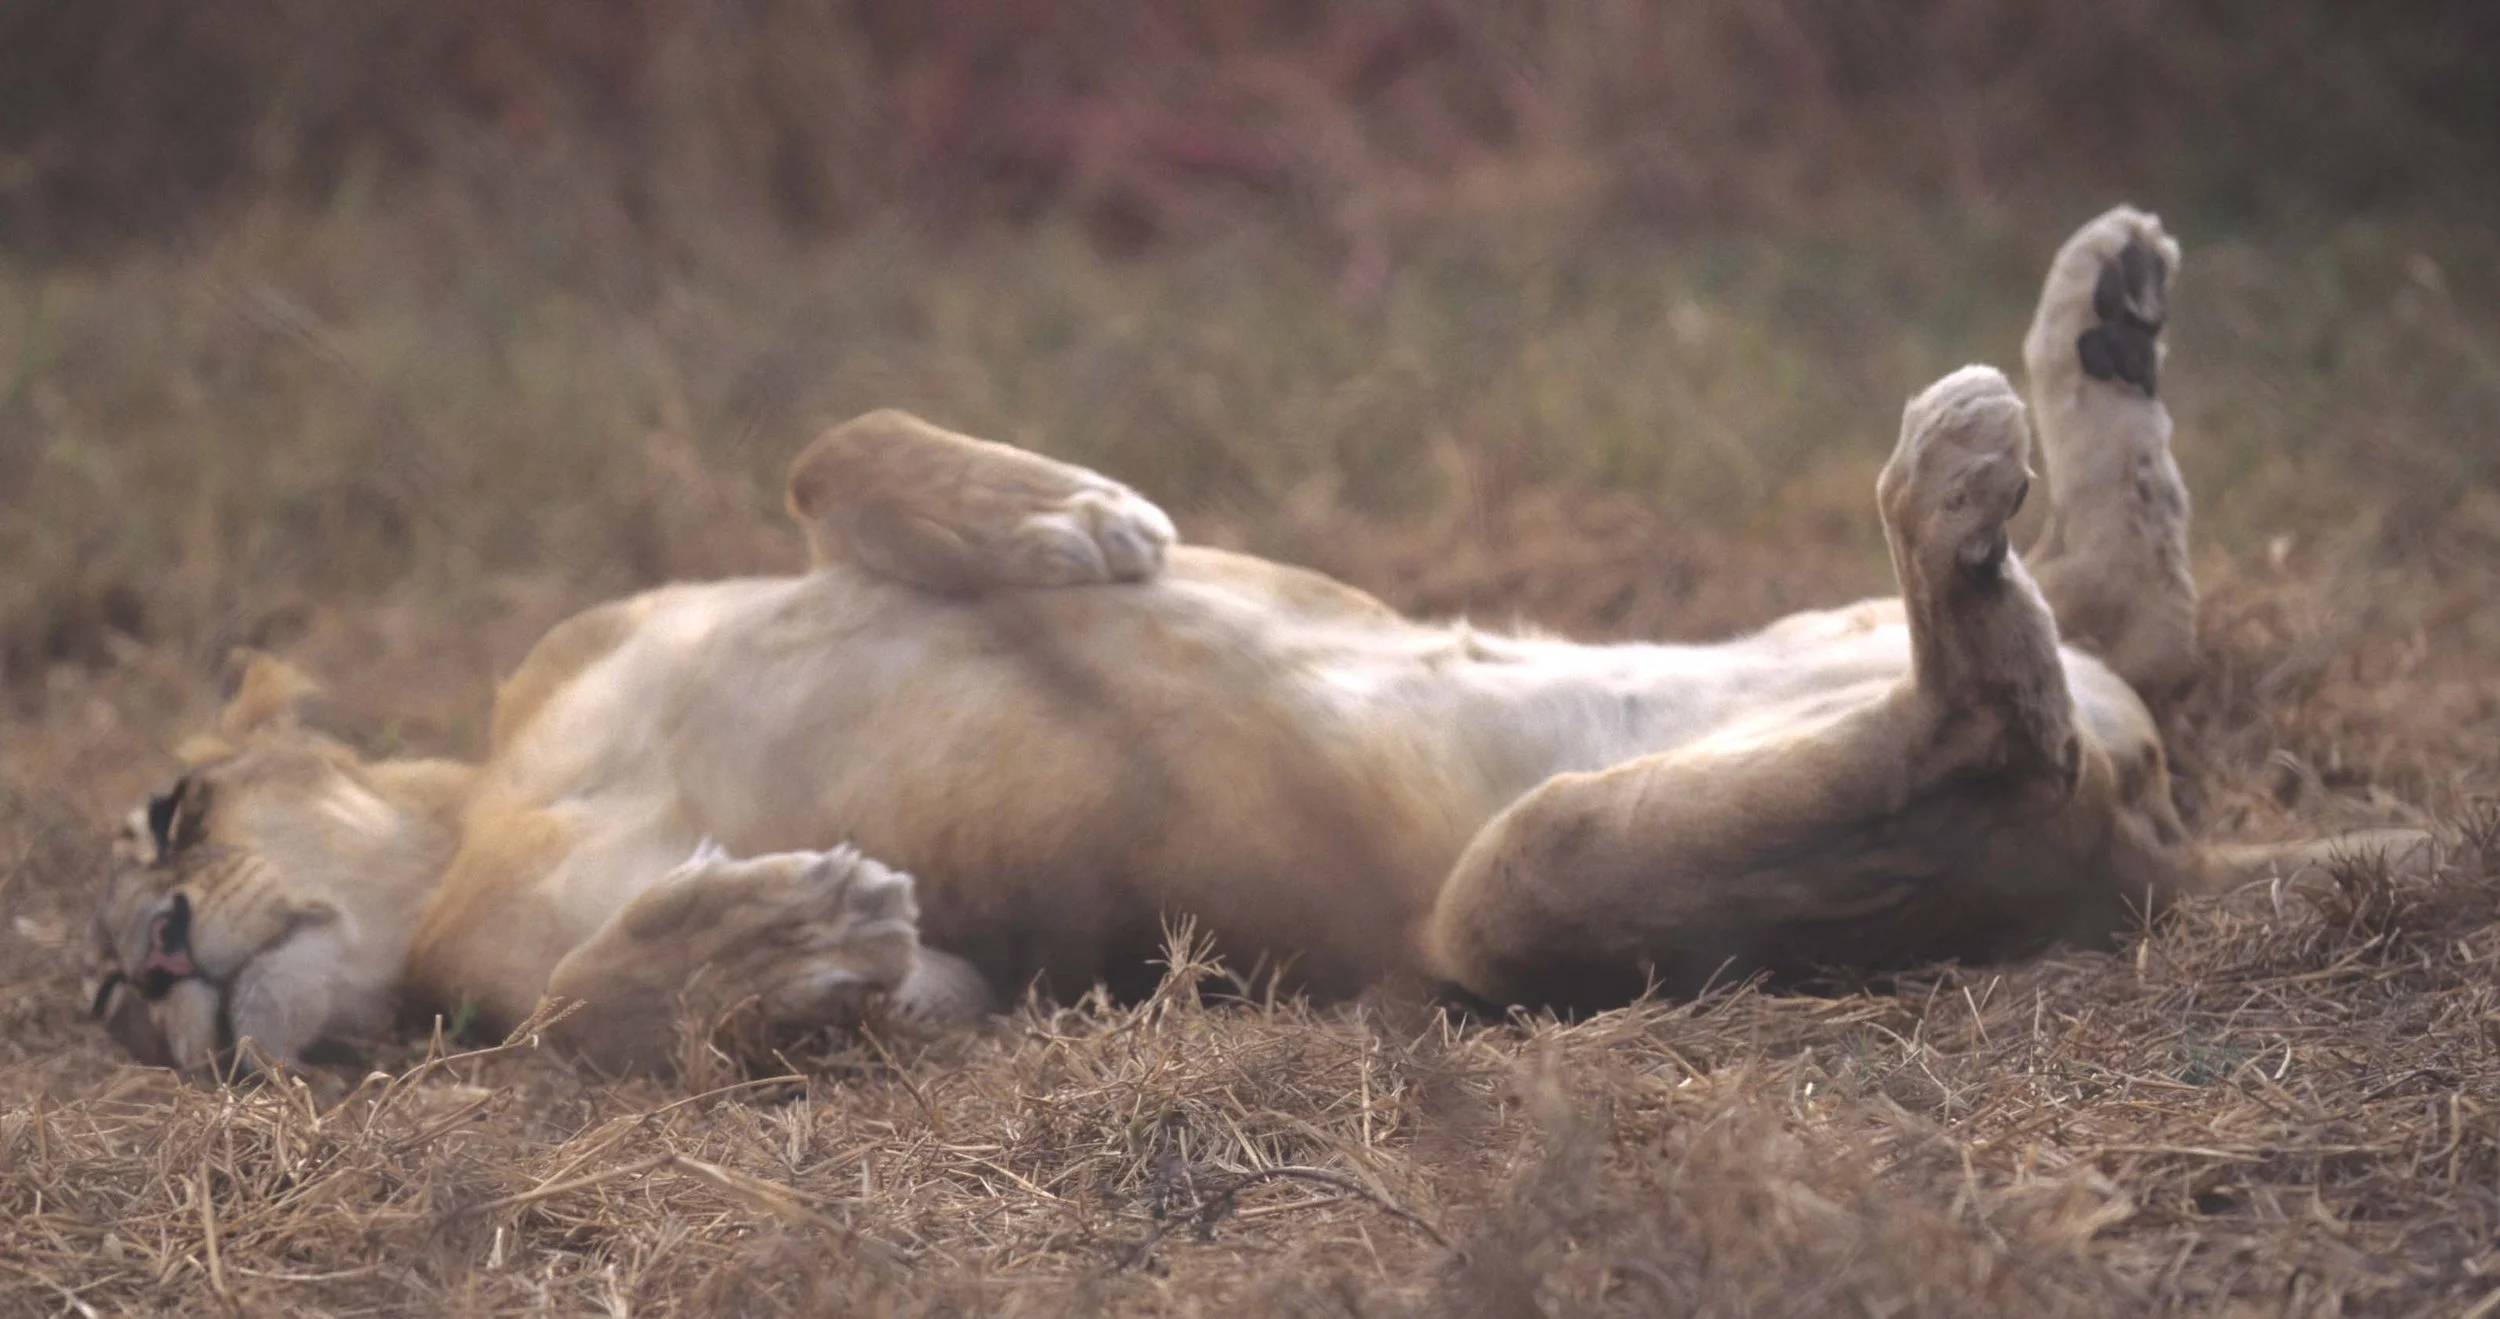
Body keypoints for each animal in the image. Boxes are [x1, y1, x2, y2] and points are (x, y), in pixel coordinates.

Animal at [87, 206, 2431, 1076]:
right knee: (2010, 705)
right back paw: (1981, 491)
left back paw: (2094, 329)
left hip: (1796, 645)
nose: (129, 972)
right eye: (103, 1017)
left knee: (2125, 612)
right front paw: (769, 929)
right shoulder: (962, 986)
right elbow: (599, 1001)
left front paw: (1067, 518)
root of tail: (2182, 846)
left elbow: (828, 445)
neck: (486, 795)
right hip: (1526, 895)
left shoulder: (630, 610)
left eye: (165, 803)